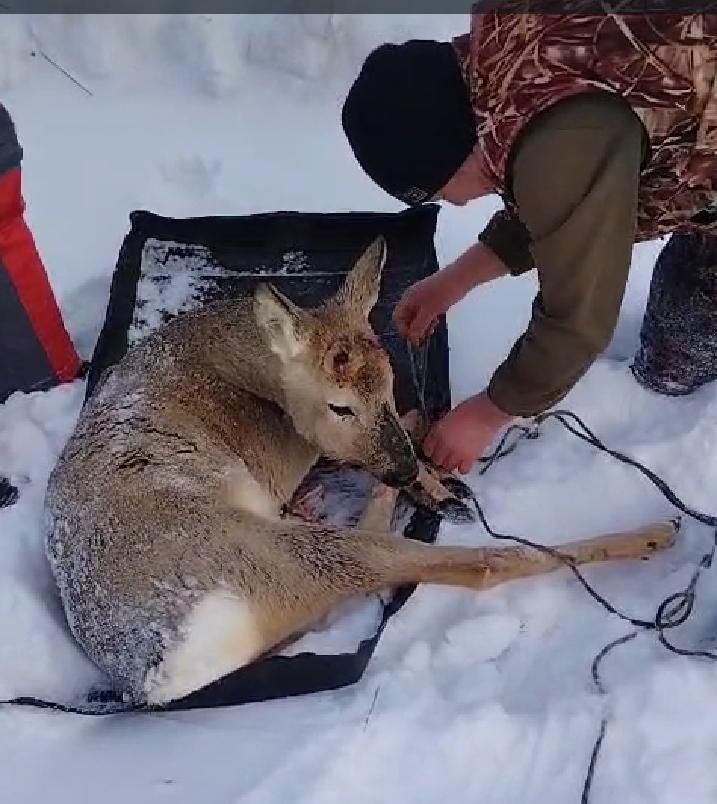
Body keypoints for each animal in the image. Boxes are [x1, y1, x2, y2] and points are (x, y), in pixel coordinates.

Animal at [44, 237, 676, 704]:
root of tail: (159, 674)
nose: (400, 467)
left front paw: (424, 462)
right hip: (271, 554)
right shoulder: (287, 448)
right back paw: (656, 533)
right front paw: (426, 465)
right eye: (339, 405)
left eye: (389, 379)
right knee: (470, 563)